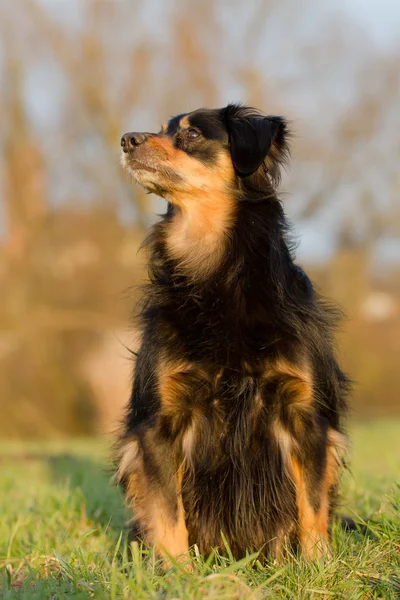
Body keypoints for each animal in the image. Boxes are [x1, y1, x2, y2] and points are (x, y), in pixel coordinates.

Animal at [116, 104, 350, 568]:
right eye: (161, 129)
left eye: (190, 135)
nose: (127, 139)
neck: (217, 272)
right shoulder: (158, 424)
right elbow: (168, 513)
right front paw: (177, 574)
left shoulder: (306, 417)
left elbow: (312, 505)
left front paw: (316, 569)